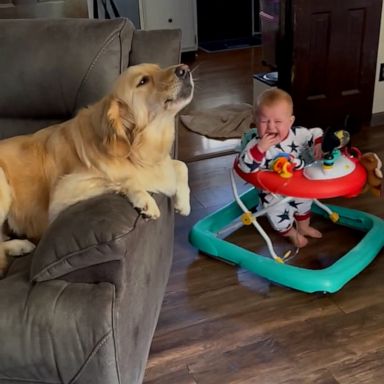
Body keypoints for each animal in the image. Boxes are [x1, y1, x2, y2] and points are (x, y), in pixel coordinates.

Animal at [0, 63, 194, 274]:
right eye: (143, 81)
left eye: (158, 68)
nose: (184, 69)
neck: (135, 148)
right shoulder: (63, 194)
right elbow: (123, 179)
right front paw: (145, 200)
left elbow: (181, 165)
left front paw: (184, 202)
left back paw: (19, 245)